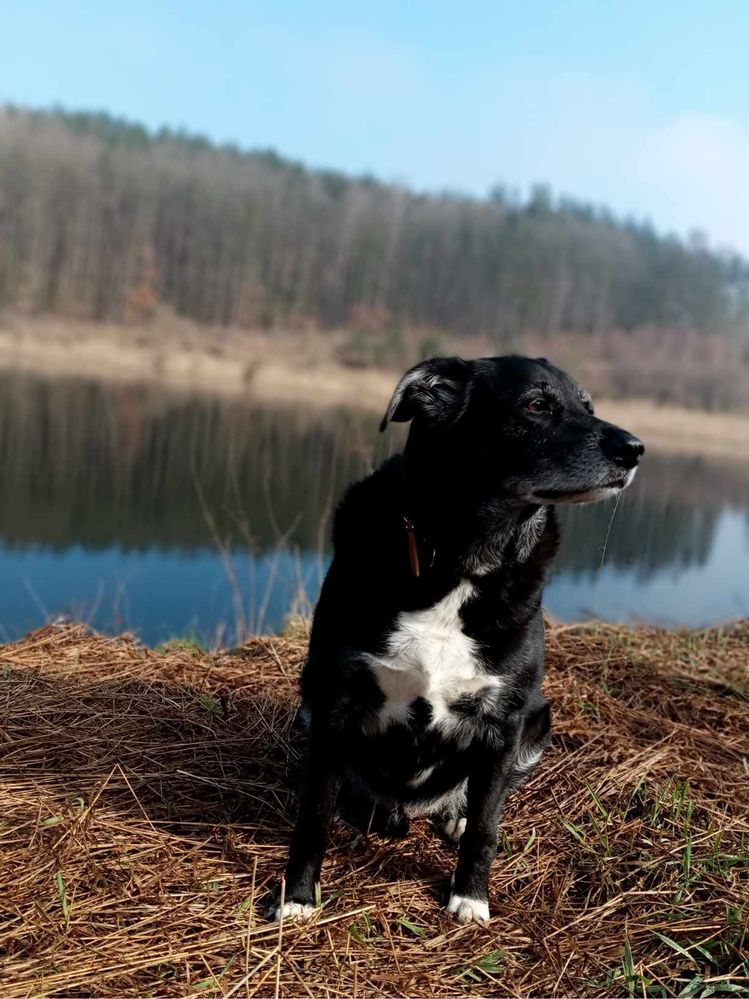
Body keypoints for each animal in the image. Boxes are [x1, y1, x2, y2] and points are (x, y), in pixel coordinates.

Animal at [268, 356, 644, 924]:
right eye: (537, 405)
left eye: (588, 406)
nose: (635, 449)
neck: (463, 560)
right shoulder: (334, 703)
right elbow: (313, 816)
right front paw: (297, 897)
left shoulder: (504, 721)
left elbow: (487, 825)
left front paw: (470, 896)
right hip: (309, 703)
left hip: (537, 723)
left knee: (480, 797)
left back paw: (454, 816)